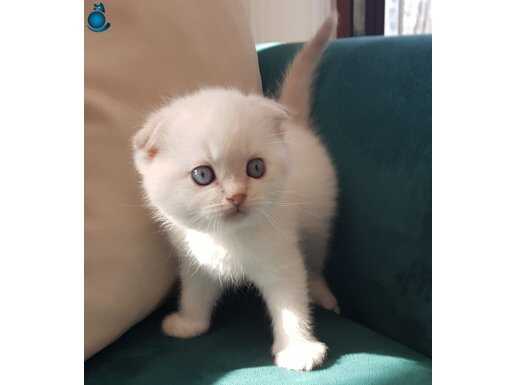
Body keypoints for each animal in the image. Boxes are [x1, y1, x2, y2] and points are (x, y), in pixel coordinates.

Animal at [133, 14, 340, 368]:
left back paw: (322, 293)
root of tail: (295, 125)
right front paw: (189, 323)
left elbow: (291, 304)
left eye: (256, 168)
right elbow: (196, 292)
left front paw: (298, 349)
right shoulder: (195, 260)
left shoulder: (281, 256)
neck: (226, 239)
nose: (236, 197)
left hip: (318, 220)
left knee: (315, 261)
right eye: (202, 175)